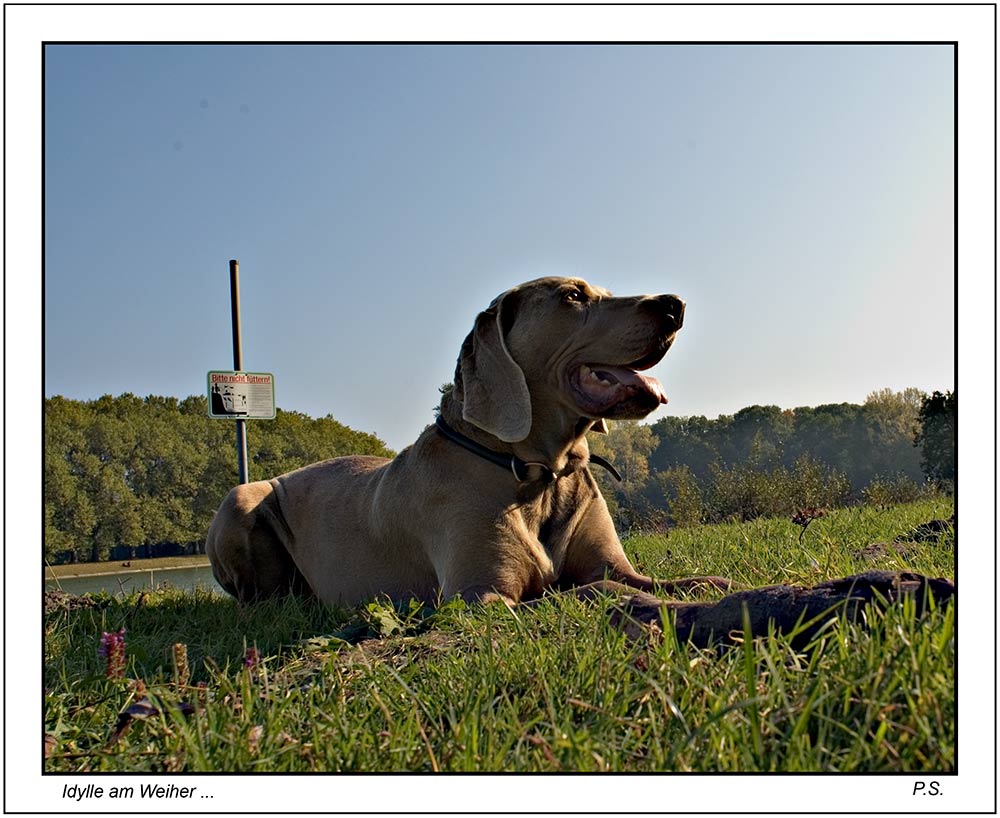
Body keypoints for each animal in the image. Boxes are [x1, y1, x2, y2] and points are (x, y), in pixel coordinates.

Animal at [207, 278, 732, 604]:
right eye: (572, 296)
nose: (674, 304)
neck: (538, 471)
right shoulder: (481, 596)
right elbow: (584, 590)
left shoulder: (612, 563)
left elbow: (672, 581)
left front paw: (706, 582)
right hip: (241, 498)